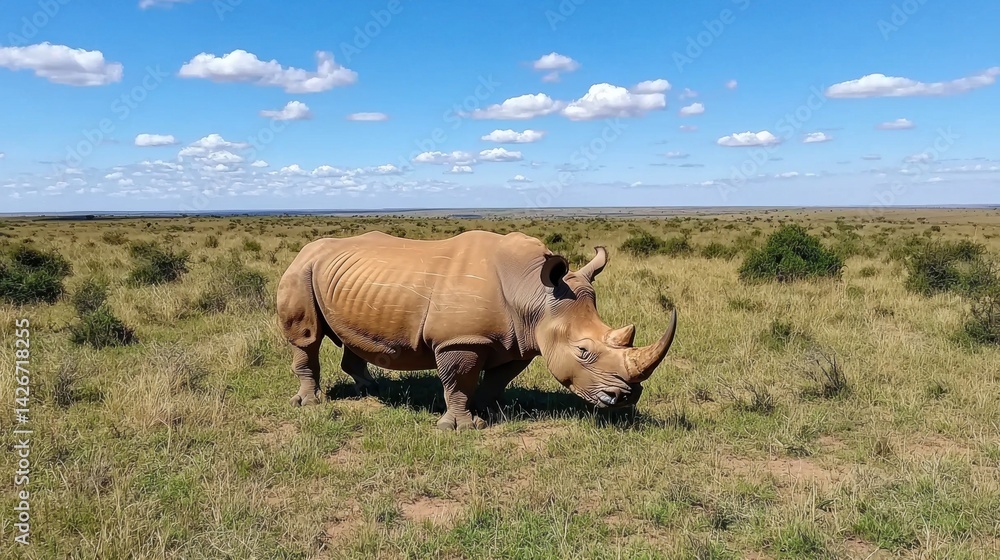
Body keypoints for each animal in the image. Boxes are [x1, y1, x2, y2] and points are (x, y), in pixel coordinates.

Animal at [276, 230, 677, 430]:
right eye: (583, 351)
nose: (625, 398)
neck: (533, 293)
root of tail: (305, 249)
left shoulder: (520, 340)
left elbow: (498, 377)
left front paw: (491, 410)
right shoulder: (460, 340)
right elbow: (459, 380)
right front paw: (463, 426)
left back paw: (372, 391)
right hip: (300, 270)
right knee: (306, 339)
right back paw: (310, 403)